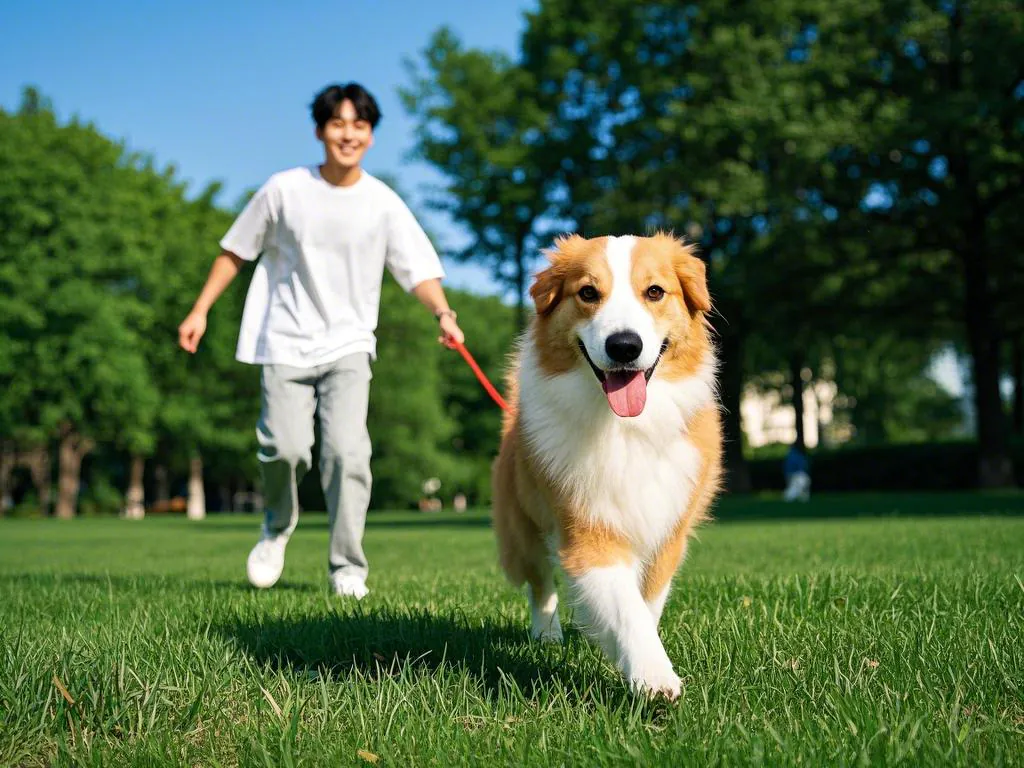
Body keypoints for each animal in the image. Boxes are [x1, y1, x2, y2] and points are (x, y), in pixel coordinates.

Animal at [493, 231, 720, 700]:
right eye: (587, 293)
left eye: (655, 292)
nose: (624, 346)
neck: (622, 426)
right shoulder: (588, 531)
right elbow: (625, 608)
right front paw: (654, 677)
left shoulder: (667, 529)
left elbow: (646, 603)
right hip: (522, 528)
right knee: (540, 582)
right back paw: (548, 634)